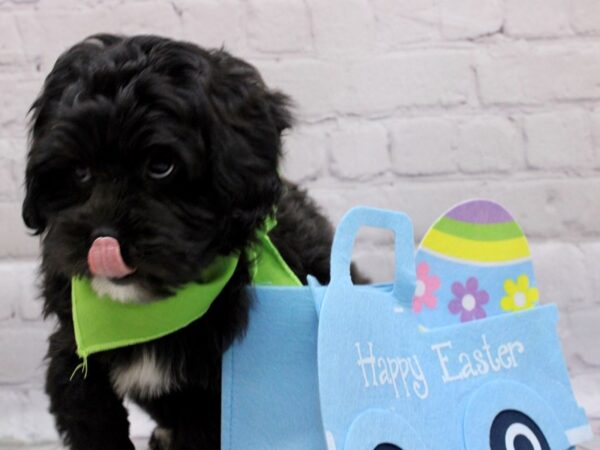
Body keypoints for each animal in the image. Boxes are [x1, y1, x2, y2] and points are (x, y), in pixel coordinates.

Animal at [22, 35, 342, 450]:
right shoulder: (74, 358)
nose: (103, 239)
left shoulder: (215, 404)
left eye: (162, 167)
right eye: (79, 172)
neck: (147, 313)